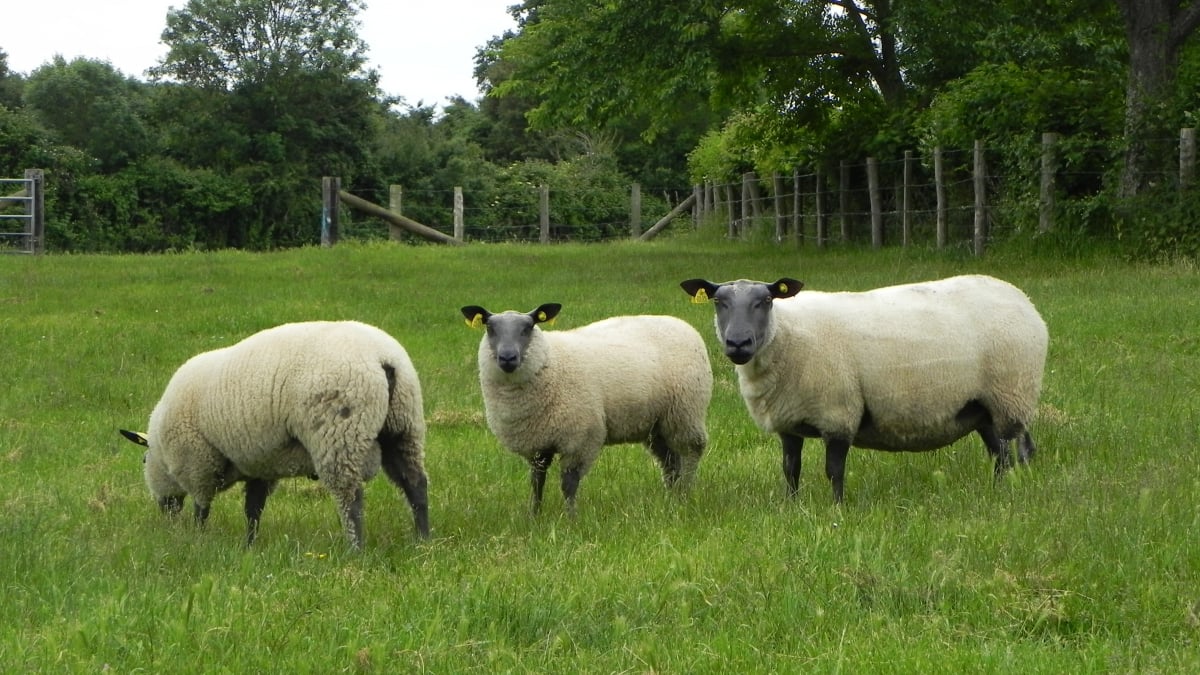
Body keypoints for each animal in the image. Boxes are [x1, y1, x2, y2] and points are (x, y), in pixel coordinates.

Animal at [130, 319, 429, 547]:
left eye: (143, 461)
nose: (165, 514)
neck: (162, 452)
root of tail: (383, 359)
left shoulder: (198, 463)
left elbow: (202, 509)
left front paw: (198, 538)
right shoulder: (259, 463)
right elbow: (253, 508)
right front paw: (249, 544)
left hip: (340, 432)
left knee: (350, 496)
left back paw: (356, 548)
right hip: (404, 426)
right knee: (415, 483)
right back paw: (423, 539)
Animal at [458, 302, 710, 511]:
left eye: (528, 327)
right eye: (490, 327)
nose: (507, 358)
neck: (551, 362)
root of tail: (680, 323)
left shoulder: (580, 438)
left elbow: (569, 483)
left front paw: (571, 518)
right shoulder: (536, 442)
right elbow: (536, 480)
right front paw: (534, 515)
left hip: (686, 412)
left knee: (691, 452)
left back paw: (686, 494)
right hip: (657, 424)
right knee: (670, 461)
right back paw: (672, 496)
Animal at [681, 273, 1046, 499]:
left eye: (766, 300)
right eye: (719, 302)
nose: (737, 343)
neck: (785, 334)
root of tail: (1023, 299)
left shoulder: (838, 413)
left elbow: (834, 471)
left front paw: (837, 511)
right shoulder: (789, 420)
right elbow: (790, 469)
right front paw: (792, 506)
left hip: (1012, 394)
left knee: (1021, 450)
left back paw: (1018, 492)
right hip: (983, 407)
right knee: (999, 453)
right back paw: (998, 491)